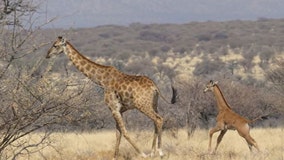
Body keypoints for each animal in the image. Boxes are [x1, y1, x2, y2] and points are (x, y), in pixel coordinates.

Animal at [45, 36, 176, 160]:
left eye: (55, 45)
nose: (47, 55)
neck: (101, 80)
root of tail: (155, 87)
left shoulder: (113, 109)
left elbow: (124, 132)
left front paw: (143, 154)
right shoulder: (119, 110)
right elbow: (118, 134)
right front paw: (114, 157)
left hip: (142, 105)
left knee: (158, 119)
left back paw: (159, 152)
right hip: (153, 104)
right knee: (156, 121)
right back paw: (153, 152)